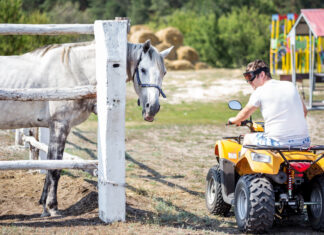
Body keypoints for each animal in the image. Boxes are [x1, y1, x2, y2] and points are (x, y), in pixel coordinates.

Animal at [0, 39, 172, 217]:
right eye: (143, 69)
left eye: (164, 72)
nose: (152, 108)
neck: (72, 70)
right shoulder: (60, 125)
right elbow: (55, 168)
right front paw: (52, 207)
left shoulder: (55, 126)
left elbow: (49, 166)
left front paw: (44, 206)